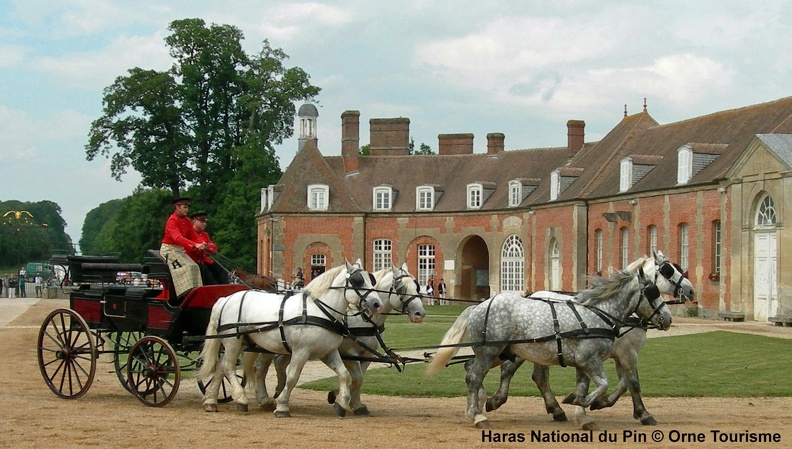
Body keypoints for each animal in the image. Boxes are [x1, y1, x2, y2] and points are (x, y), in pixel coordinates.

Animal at [198, 260, 384, 416]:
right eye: (358, 281)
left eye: (370, 279)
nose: (377, 303)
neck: (319, 311)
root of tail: (225, 299)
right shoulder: (301, 352)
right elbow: (293, 377)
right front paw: (282, 406)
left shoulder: (328, 352)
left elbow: (344, 374)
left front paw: (341, 403)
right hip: (232, 341)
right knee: (228, 366)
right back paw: (241, 398)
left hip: (242, 342)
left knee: (221, 366)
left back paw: (211, 401)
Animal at [249, 264, 426, 414]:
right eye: (401, 288)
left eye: (417, 286)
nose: (420, 313)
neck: (363, 319)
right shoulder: (347, 351)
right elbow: (356, 377)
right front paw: (341, 397)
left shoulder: (367, 354)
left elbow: (359, 379)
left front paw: (352, 402)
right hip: (270, 345)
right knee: (261, 367)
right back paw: (265, 399)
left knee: (278, 363)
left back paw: (278, 391)